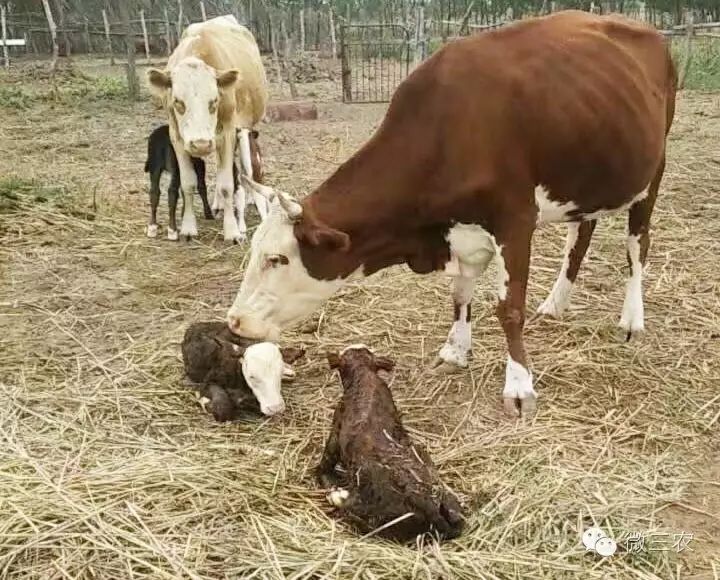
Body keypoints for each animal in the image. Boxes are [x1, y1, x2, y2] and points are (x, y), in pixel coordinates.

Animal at [148, 15, 268, 242]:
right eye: (178, 102)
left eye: (214, 101)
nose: (201, 143)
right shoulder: (177, 137)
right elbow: (188, 183)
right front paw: (188, 228)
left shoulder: (229, 132)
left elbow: (227, 184)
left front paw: (232, 230)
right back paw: (218, 204)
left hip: (243, 131)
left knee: (245, 169)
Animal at [224, 10, 676, 416]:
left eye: (277, 259)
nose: (235, 322)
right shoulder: (459, 229)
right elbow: (460, 295)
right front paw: (455, 350)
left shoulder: (514, 221)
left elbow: (509, 309)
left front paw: (519, 386)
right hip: (587, 178)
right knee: (580, 235)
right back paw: (555, 303)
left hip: (652, 172)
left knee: (637, 245)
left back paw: (632, 319)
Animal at [316, 344, 464, 544]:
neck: (364, 375)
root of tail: (426, 502)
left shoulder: (336, 427)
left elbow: (323, 466)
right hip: (449, 501)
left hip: (368, 513)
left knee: (353, 513)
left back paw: (337, 496)